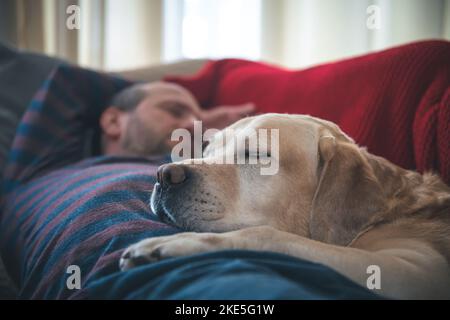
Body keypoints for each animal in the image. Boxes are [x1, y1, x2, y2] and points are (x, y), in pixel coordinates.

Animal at [118, 114, 450, 298]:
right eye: (209, 151)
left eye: (256, 154)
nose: (164, 175)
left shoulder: (413, 270)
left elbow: (267, 235)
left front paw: (177, 243)